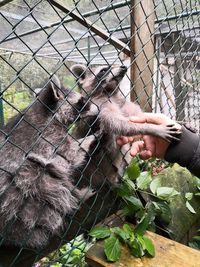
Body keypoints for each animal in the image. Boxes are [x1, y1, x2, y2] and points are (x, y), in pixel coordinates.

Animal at [0, 76, 96, 249]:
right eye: (82, 101)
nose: (99, 109)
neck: (45, 110)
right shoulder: (48, 138)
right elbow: (71, 154)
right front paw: (88, 139)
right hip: (24, 197)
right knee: (49, 177)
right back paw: (78, 195)